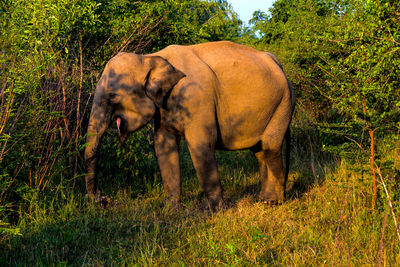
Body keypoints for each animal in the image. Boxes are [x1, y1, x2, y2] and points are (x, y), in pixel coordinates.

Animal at [84, 40, 296, 211]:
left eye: (112, 97)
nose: (103, 200)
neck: (150, 57)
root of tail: (277, 62)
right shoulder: (163, 108)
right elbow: (163, 145)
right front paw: (170, 207)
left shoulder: (197, 98)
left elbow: (200, 144)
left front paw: (211, 211)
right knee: (259, 151)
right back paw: (262, 199)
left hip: (284, 103)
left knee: (270, 146)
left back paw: (272, 202)